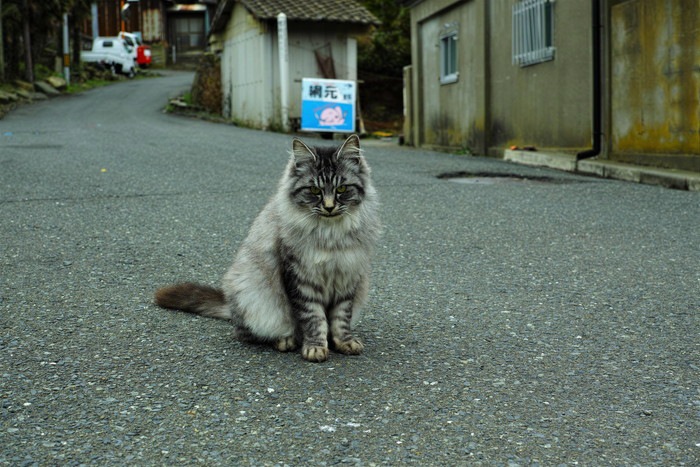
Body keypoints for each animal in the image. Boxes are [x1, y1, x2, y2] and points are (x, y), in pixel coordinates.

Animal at [155, 133, 380, 364]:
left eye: (342, 189)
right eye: (314, 190)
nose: (328, 207)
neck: (330, 234)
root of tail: (229, 305)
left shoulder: (347, 277)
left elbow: (340, 319)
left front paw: (344, 342)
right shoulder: (300, 278)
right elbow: (313, 318)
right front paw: (315, 347)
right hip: (251, 293)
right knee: (246, 333)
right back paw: (284, 340)